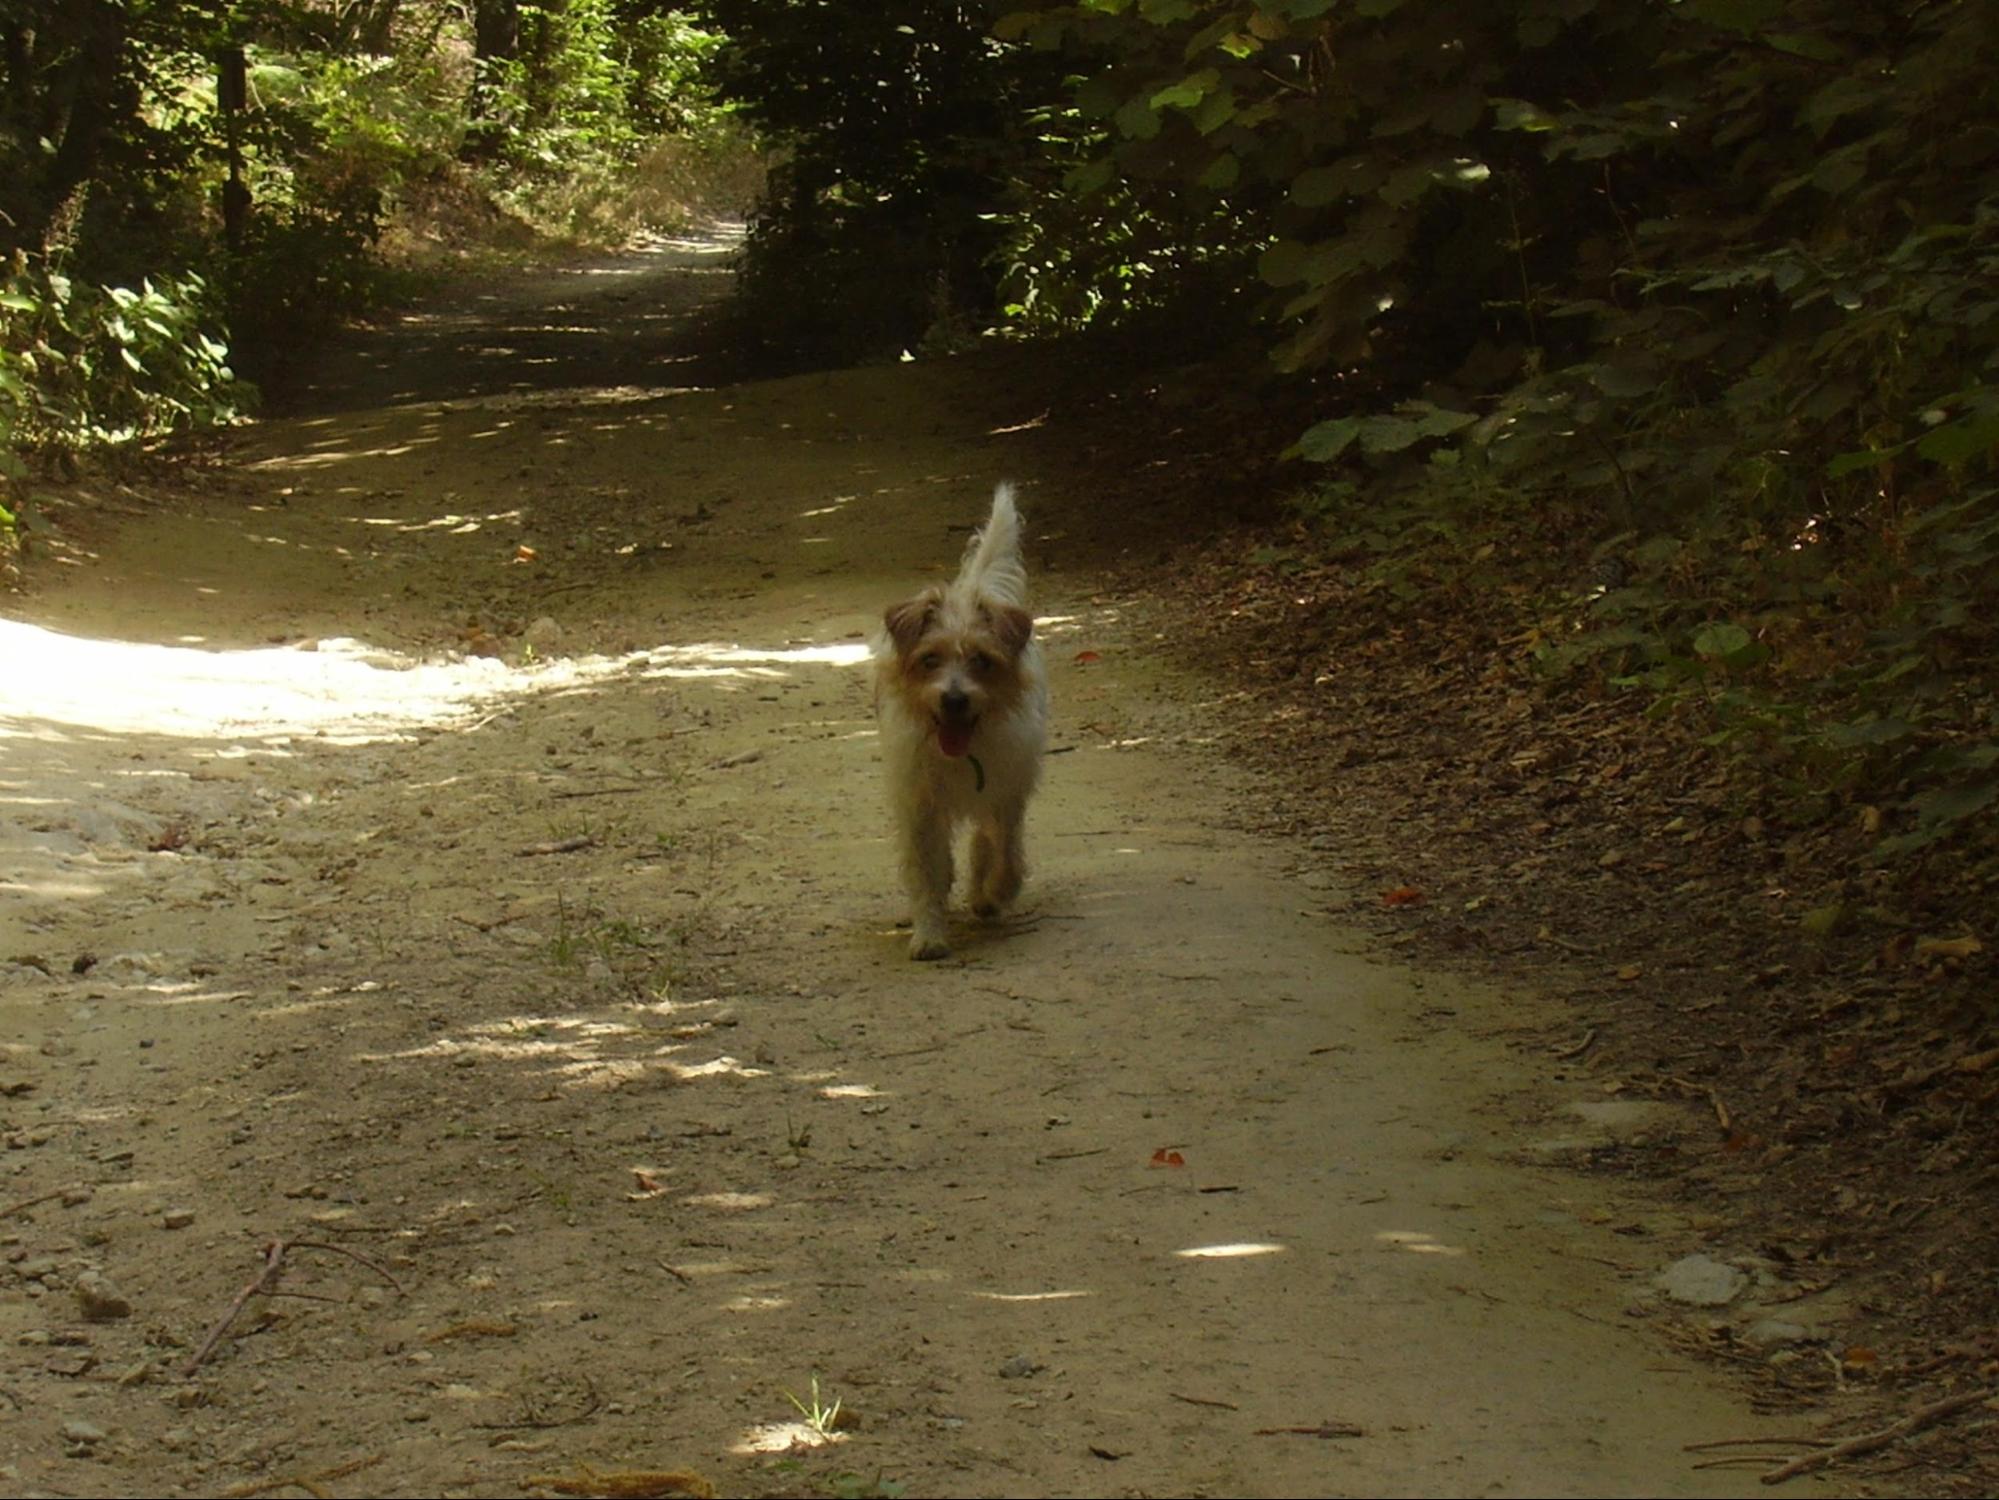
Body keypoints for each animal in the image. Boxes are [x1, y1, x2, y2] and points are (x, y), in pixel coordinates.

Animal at [879, 488, 1055, 968]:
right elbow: (928, 873)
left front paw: (994, 894)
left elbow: (1005, 854)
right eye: (930, 659)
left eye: (981, 659)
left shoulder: (1007, 792)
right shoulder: (920, 805)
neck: (963, 749)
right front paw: (928, 933)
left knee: (986, 842)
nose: (954, 699)